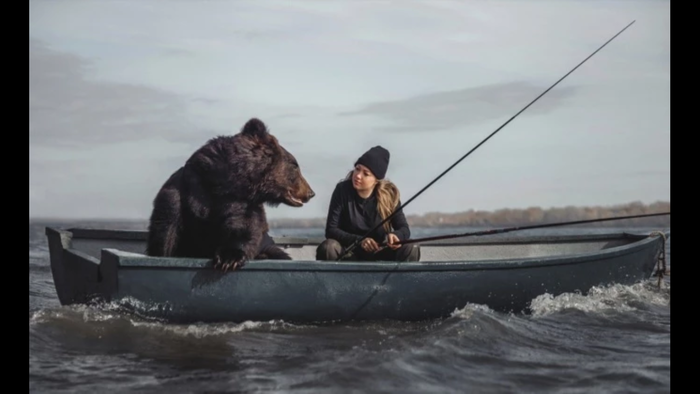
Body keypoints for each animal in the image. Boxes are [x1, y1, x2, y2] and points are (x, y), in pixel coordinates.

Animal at [145, 117, 314, 270]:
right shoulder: (184, 192)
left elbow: (243, 226)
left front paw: (229, 258)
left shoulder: (242, 202)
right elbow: (166, 233)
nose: (311, 192)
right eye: (295, 165)